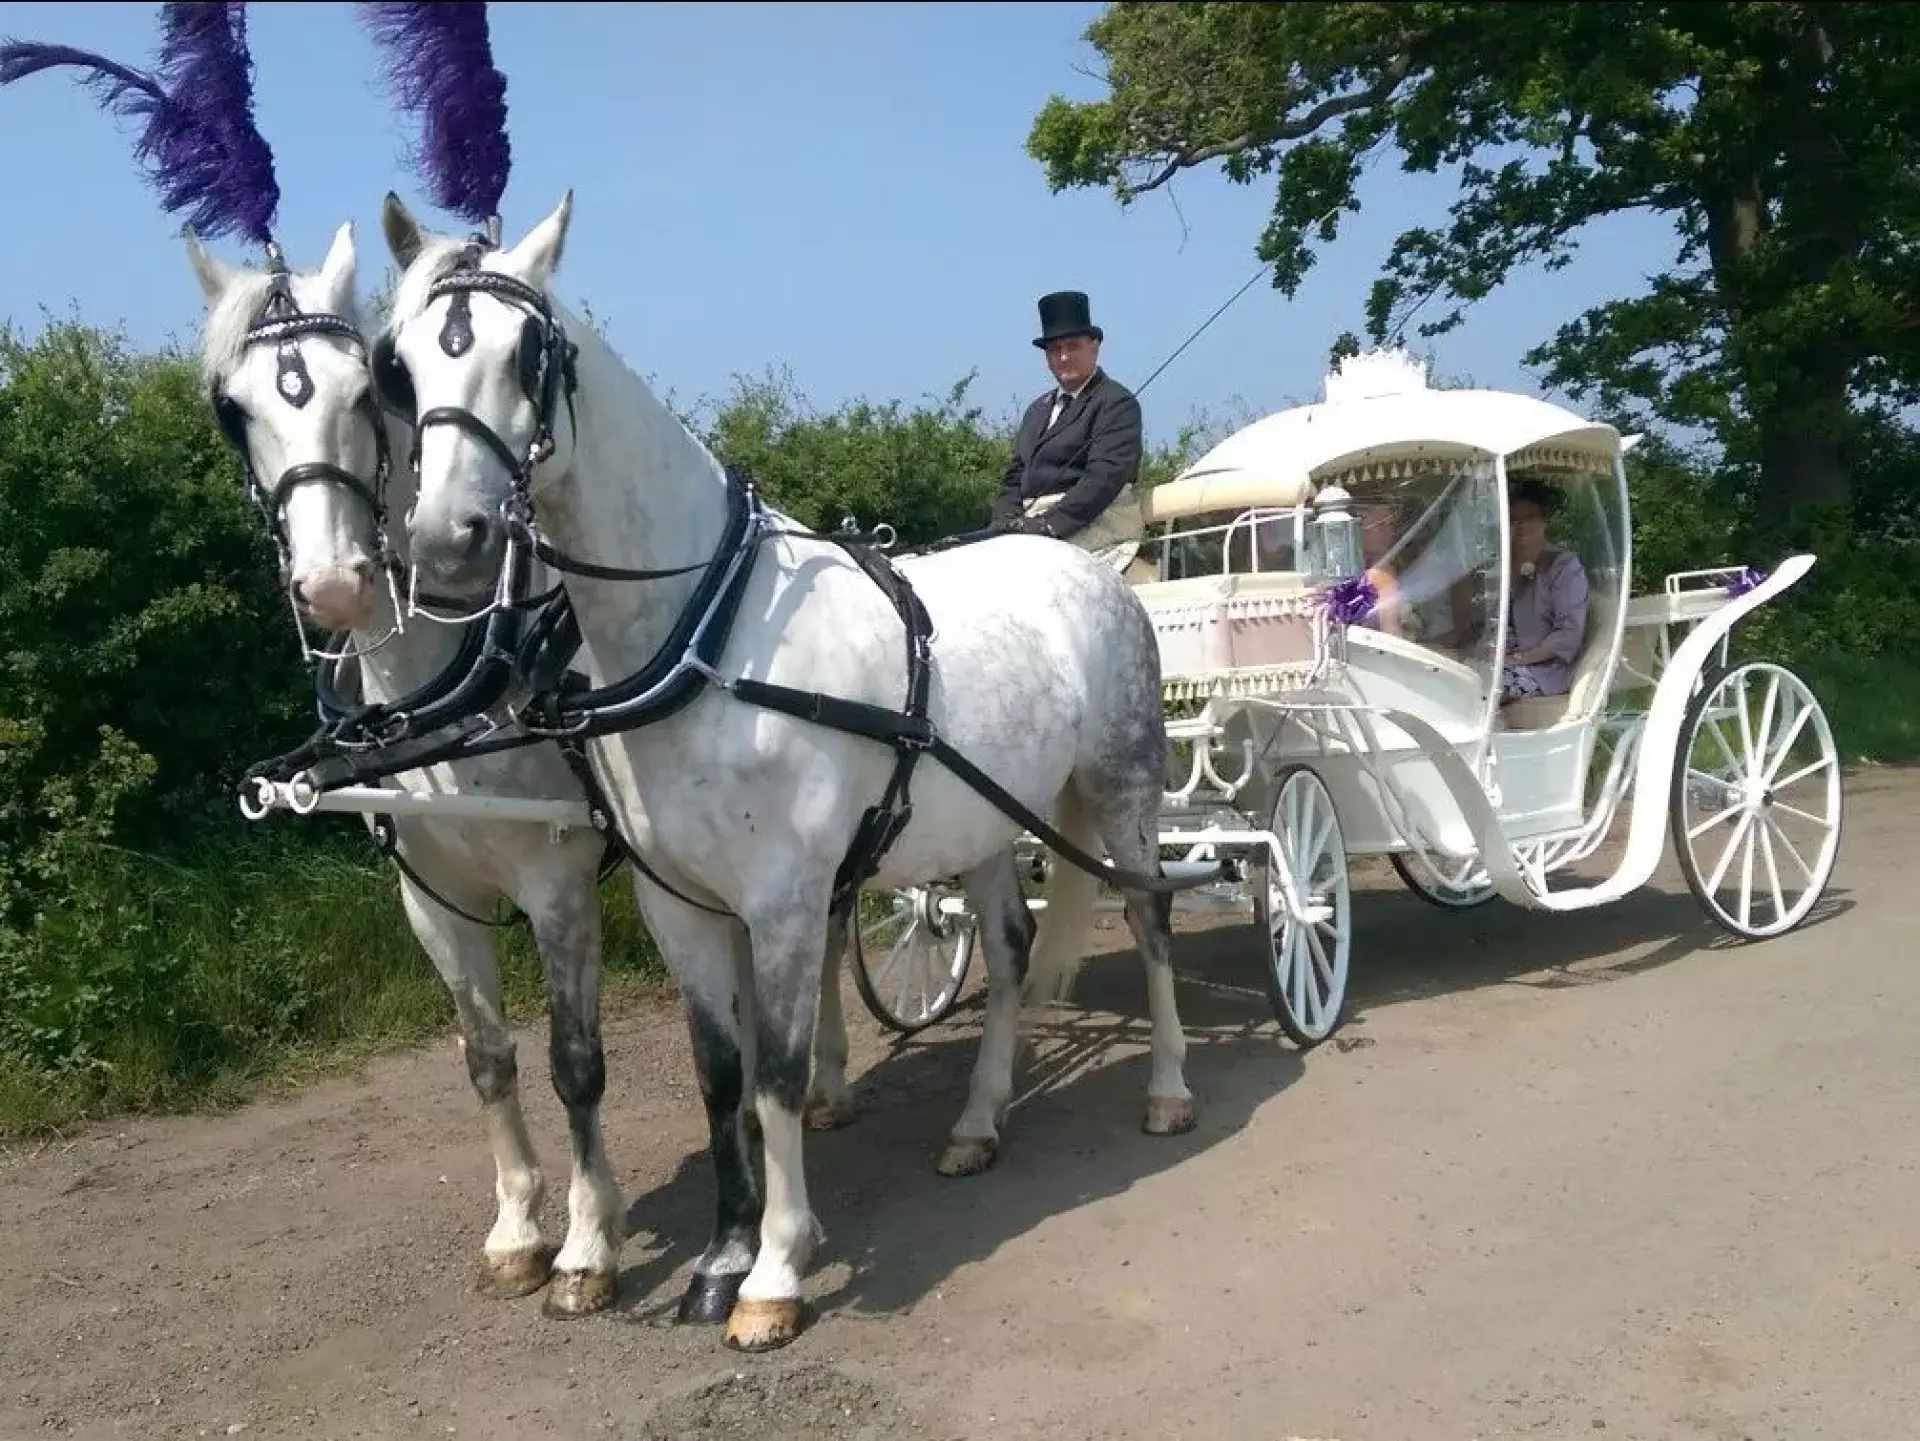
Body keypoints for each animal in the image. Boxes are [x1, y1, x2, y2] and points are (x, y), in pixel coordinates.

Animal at [184, 218, 625, 1317]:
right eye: (233, 409)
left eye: (361, 389)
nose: (336, 583)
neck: (449, 695)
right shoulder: (430, 897)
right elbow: (488, 1057)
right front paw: (517, 1229)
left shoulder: (559, 884)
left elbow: (575, 1062)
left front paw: (588, 1246)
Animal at [374, 189, 1197, 1353]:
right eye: (398, 365)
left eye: (529, 351)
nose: (450, 540)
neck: (707, 635)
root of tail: (1092, 571)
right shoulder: (678, 904)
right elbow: (720, 1078)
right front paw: (722, 1253)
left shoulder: (786, 901)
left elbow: (775, 1074)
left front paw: (773, 1271)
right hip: (989, 823)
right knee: (1008, 948)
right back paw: (978, 1121)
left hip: (1123, 793)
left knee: (1151, 915)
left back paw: (1168, 1089)